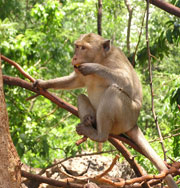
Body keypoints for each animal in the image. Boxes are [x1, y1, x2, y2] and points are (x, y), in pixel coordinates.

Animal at [35, 33, 177, 187]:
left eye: (83, 48)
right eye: (77, 46)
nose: (74, 58)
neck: (101, 58)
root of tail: (134, 123)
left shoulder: (115, 58)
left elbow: (126, 81)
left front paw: (93, 67)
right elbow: (75, 81)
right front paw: (43, 83)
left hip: (126, 116)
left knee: (113, 92)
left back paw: (99, 135)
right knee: (81, 97)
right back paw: (89, 122)